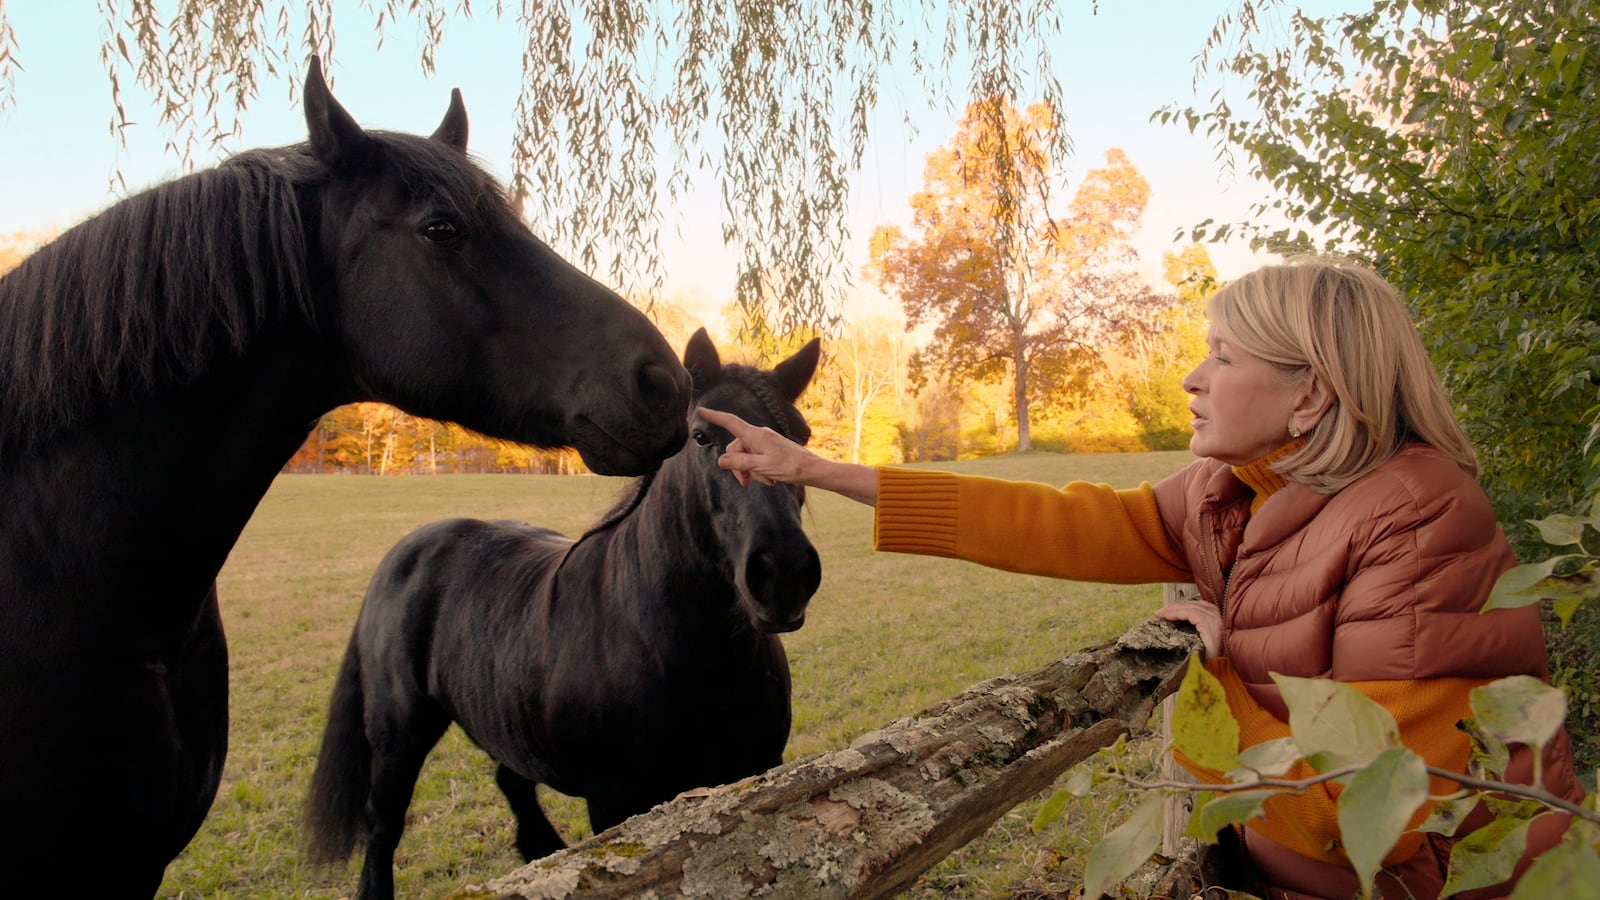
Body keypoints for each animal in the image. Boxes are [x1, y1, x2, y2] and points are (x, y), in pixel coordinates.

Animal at [302, 329, 825, 896]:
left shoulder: (755, 773)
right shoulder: (617, 802)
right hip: (398, 735)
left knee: (510, 778)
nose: (784, 571)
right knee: (383, 828)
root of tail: (406, 550)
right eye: (703, 437)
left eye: (800, 437)